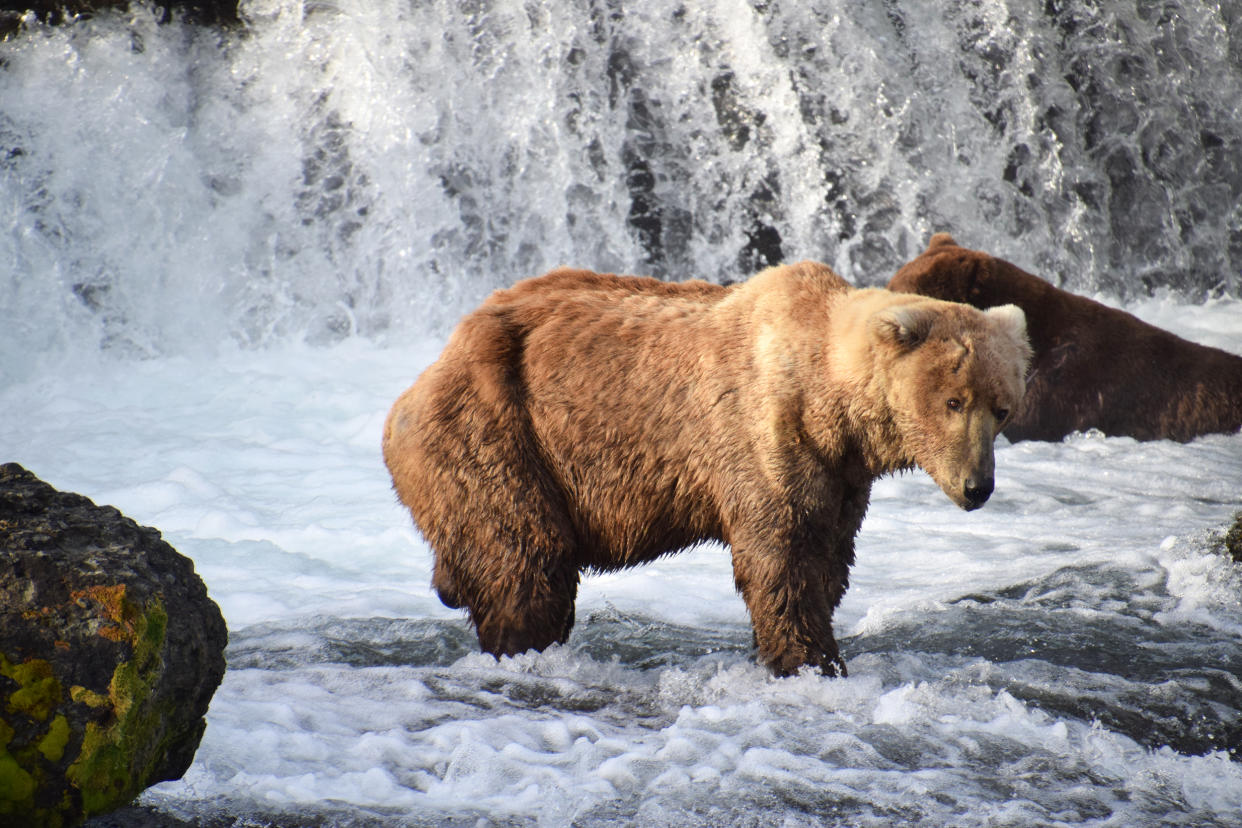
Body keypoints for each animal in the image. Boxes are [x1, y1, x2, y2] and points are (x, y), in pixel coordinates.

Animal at [382, 261, 1033, 675]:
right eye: (953, 402)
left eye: (1001, 406)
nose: (977, 486)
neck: (829, 402)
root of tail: (425, 374)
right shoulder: (765, 437)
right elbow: (782, 559)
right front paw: (810, 659)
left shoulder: (842, 476)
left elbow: (828, 557)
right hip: (501, 435)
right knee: (524, 557)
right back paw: (520, 646)